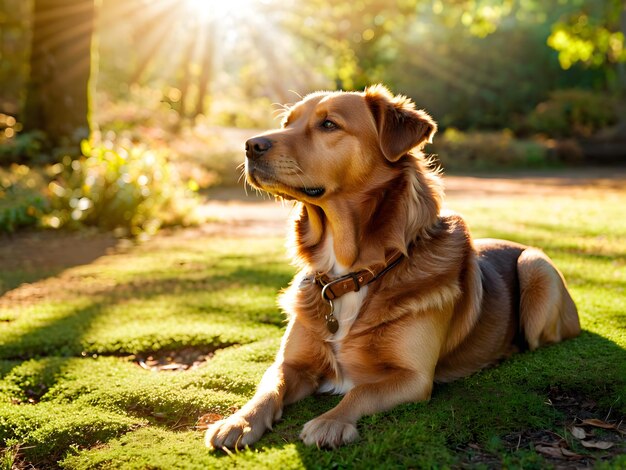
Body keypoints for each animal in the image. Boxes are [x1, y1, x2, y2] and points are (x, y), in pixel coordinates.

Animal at [206, 84, 580, 448]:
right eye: (287, 123)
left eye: (328, 124)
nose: (250, 145)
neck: (352, 274)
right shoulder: (291, 364)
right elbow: (269, 387)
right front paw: (238, 421)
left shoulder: (413, 377)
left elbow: (361, 391)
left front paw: (330, 423)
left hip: (535, 266)